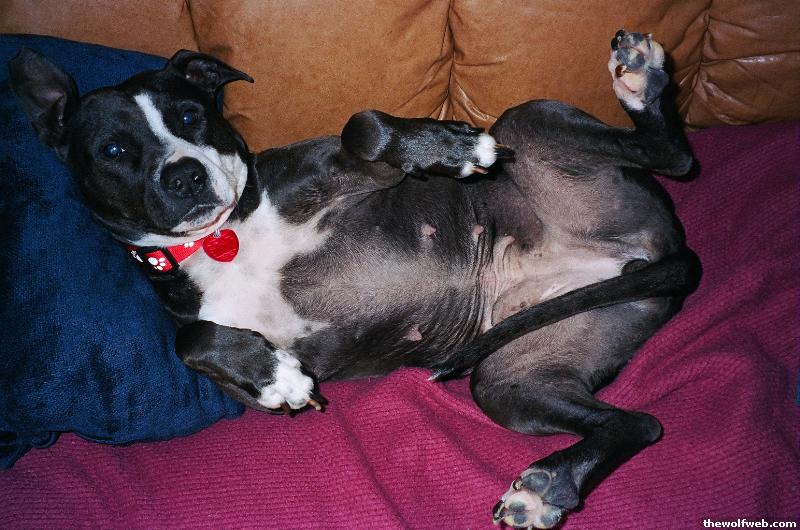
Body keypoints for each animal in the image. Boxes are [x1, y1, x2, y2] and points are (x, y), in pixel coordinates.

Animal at [10, 30, 700, 528]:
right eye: (114, 151)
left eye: (190, 115)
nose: (184, 175)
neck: (223, 240)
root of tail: (661, 250)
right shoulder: (218, 360)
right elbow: (190, 340)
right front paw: (273, 375)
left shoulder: (353, 166)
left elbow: (364, 125)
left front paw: (446, 147)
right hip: (513, 381)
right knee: (637, 424)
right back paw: (550, 486)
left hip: (525, 122)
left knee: (672, 155)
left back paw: (640, 80)